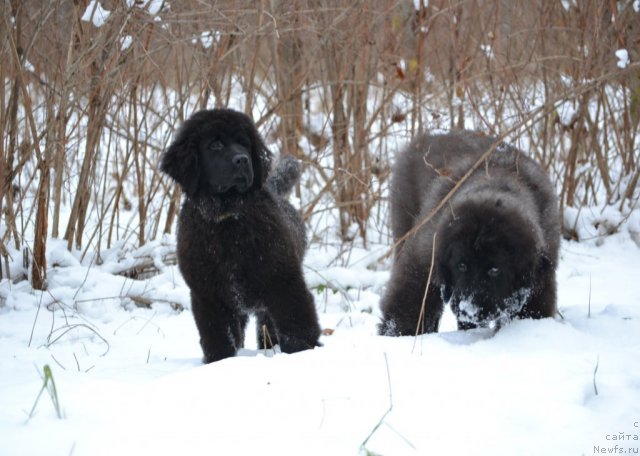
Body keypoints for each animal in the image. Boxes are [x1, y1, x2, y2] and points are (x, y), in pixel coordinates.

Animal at [160, 108, 320, 362]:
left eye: (244, 144)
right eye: (215, 145)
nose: (242, 159)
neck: (228, 221)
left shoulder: (284, 281)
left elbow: (297, 323)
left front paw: (302, 353)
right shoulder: (209, 298)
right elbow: (218, 340)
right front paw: (220, 363)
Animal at [380, 129, 560, 334]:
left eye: (495, 270)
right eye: (461, 265)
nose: (469, 310)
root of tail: (427, 136)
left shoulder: (540, 279)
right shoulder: (425, 258)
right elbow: (410, 303)